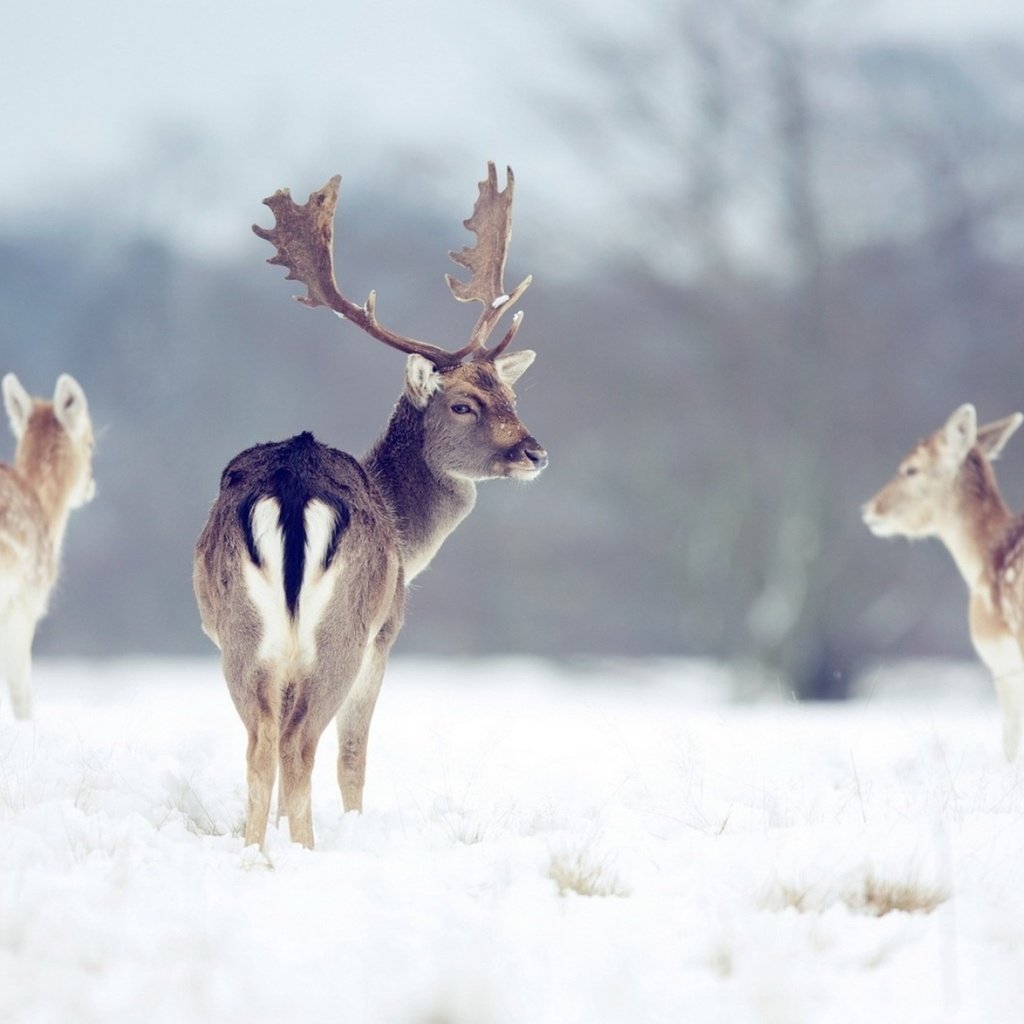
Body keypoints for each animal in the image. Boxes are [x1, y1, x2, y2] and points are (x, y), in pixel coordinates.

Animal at [192, 161, 544, 847]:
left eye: (510, 395)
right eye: (463, 403)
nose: (535, 452)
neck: (408, 534)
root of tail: (293, 484)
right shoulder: (386, 634)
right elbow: (353, 758)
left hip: (239, 635)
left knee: (261, 745)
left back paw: (256, 853)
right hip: (343, 632)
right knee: (301, 744)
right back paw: (306, 850)